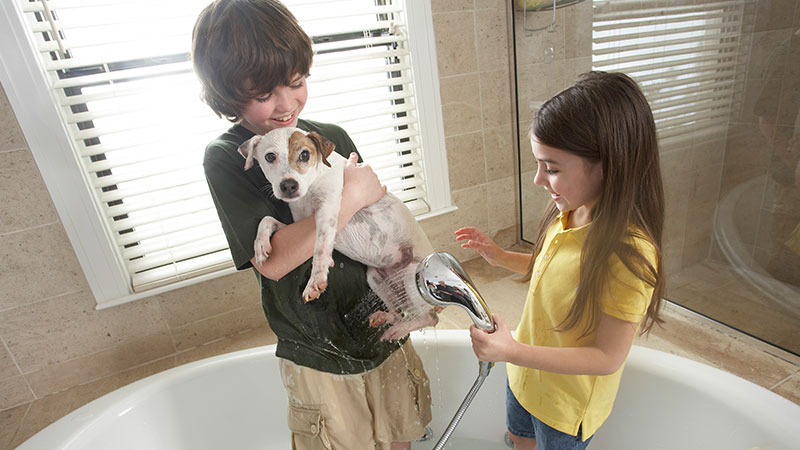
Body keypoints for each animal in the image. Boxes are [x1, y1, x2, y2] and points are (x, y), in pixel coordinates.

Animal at [241, 125, 440, 338]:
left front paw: (316, 280)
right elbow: (266, 220)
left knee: (429, 318)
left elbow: (320, 249)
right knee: (400, 312)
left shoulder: (327, 212)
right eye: (270, 157)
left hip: (411, 274)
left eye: (305, 154)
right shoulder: (299, 224)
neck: (312, 185)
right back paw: (385, 318)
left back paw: (398, 330)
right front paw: (261, 246)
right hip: (376, 279)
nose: (289, 186)